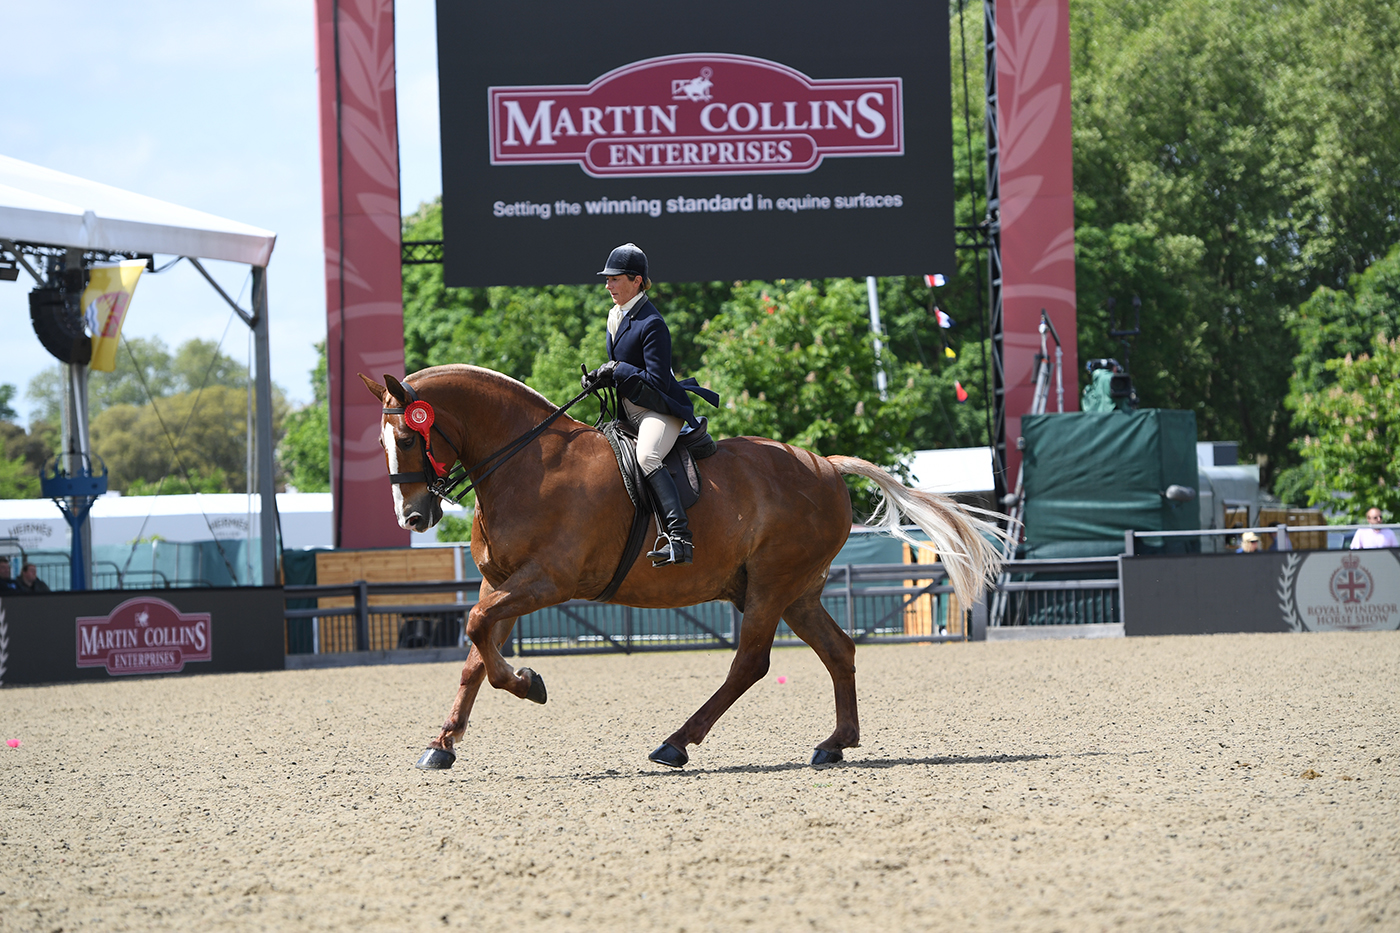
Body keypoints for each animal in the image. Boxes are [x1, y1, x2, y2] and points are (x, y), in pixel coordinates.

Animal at [359, 365, 1006, 769]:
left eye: (408, 438)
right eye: (385, 443)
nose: (414, 516)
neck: (527, 464)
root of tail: (823, 464)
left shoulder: (545, 581)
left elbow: (474, 629)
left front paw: (529, 683)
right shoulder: (503, 583)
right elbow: (474, 654)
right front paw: (443, 743)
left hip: (771, 585)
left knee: (750, 663)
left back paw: (676, 744)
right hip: (796, 591)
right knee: (838, 650)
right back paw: (834, 744)